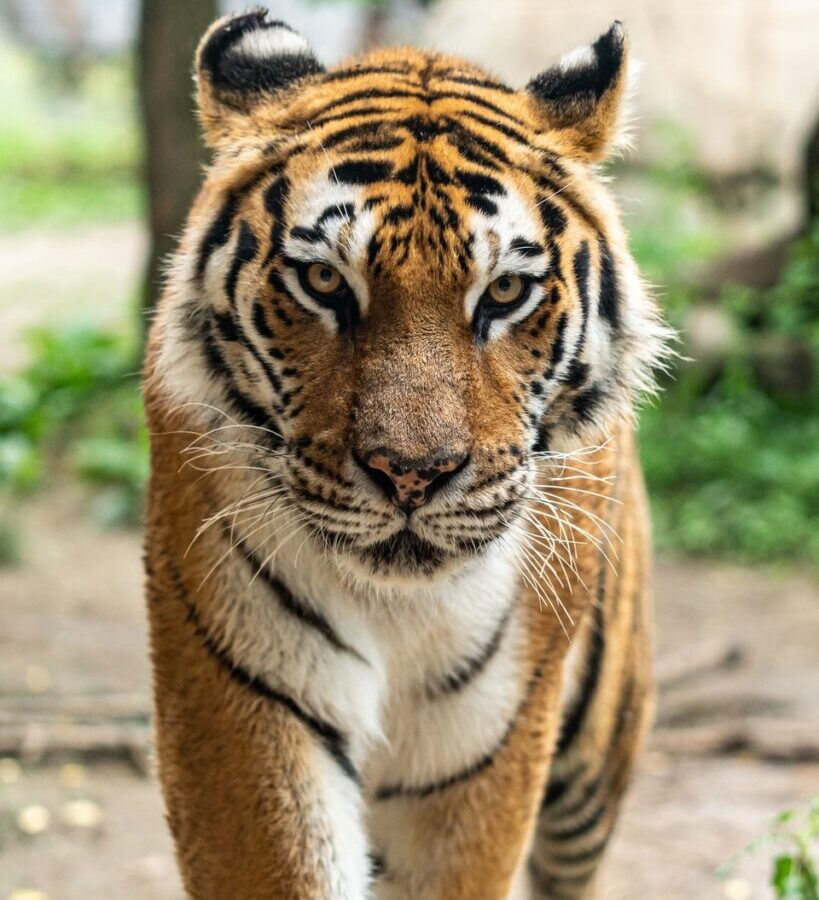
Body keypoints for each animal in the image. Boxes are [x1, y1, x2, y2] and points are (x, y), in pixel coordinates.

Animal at [142, 9, 670, 899]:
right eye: (323, 282)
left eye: (504, 292)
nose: (411, 474)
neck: (399, 607)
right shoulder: (242, 697)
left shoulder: (481, 745)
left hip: (595, 752)